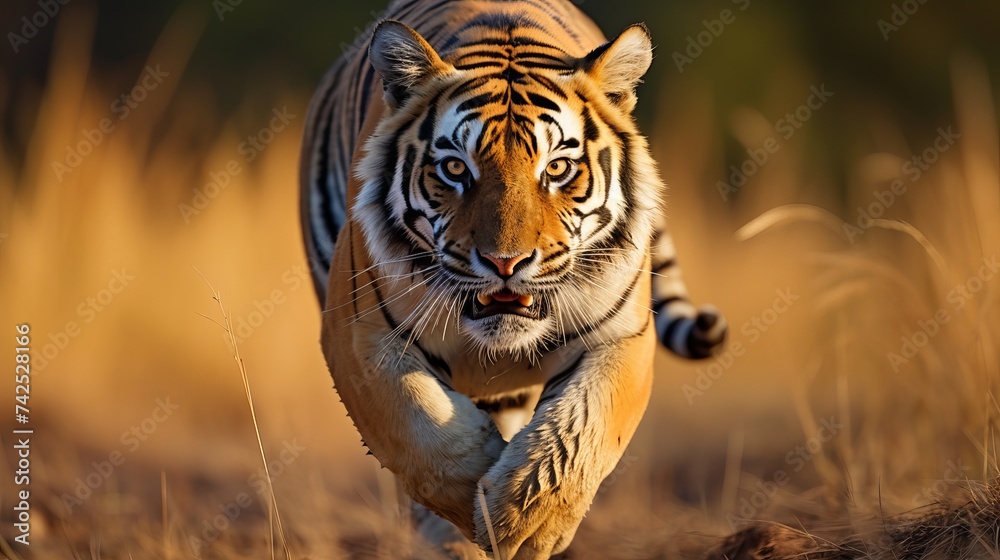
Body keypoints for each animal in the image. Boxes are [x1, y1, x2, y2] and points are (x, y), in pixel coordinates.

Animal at [296, 0, 728, 556]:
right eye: (456, 169)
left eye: (558, 168)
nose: (505, 262)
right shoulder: (360, 336)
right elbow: (422, 431)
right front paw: (476, 516)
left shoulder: (622, 337)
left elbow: (582, 433)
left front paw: (524, 525)